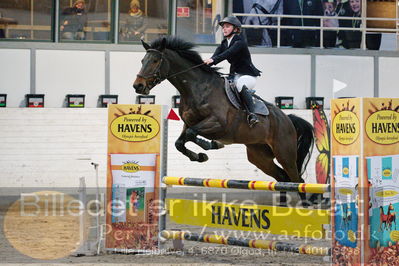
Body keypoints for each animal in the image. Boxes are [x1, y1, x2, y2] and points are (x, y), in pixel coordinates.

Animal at [134, 35, 316, 204]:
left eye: (155, 61)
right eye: (142, 60)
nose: (138, 86)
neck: (196, 88)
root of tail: (287, 118)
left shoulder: (218, 124)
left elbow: (192, 134)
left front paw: (211, 146)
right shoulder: (188, 124)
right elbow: (180, 142)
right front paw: (201, 155)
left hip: (284, 153)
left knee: (298, 180)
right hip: (259, 155)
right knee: (282, 178)